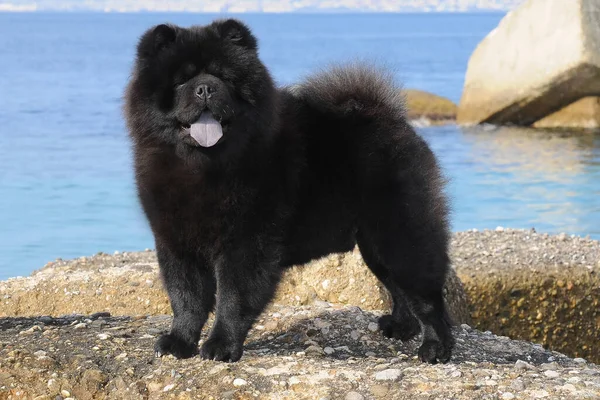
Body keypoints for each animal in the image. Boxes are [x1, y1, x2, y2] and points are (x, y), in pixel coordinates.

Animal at [125, 18, 454, 364]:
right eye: (182, 80)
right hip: (373, 243)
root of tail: (393, 119)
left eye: (224, 77)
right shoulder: (176, 242)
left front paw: (221, 346)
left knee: (426, 295)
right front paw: (179, 342)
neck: (204, 165)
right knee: (397, 286)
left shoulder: (246, 243)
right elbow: (186, 298)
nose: (205, 88)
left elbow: (232, 298)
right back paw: (400, 327)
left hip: (399, 232)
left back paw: (435, 348)